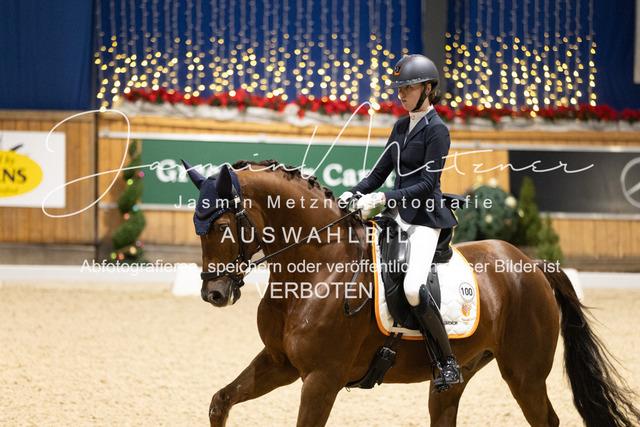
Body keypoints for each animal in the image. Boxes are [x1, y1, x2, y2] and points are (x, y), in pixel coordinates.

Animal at [183, 159, 640, 427]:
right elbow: (220, 401)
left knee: (546, 419)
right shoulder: (280, 363)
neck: (317, 268)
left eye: (221, 225)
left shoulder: (321, 379)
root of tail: (532, 265)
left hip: (524, 373)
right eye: (196, 227)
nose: (214, 294)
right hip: (459, 372)